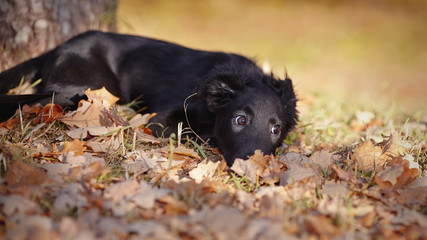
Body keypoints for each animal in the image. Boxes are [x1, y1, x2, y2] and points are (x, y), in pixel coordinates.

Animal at [0, 31, 298, 166]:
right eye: (240, 119)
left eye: (276, 129)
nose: (255, 167)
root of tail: (56, 49)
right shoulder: (163, 119)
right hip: (83, 89)